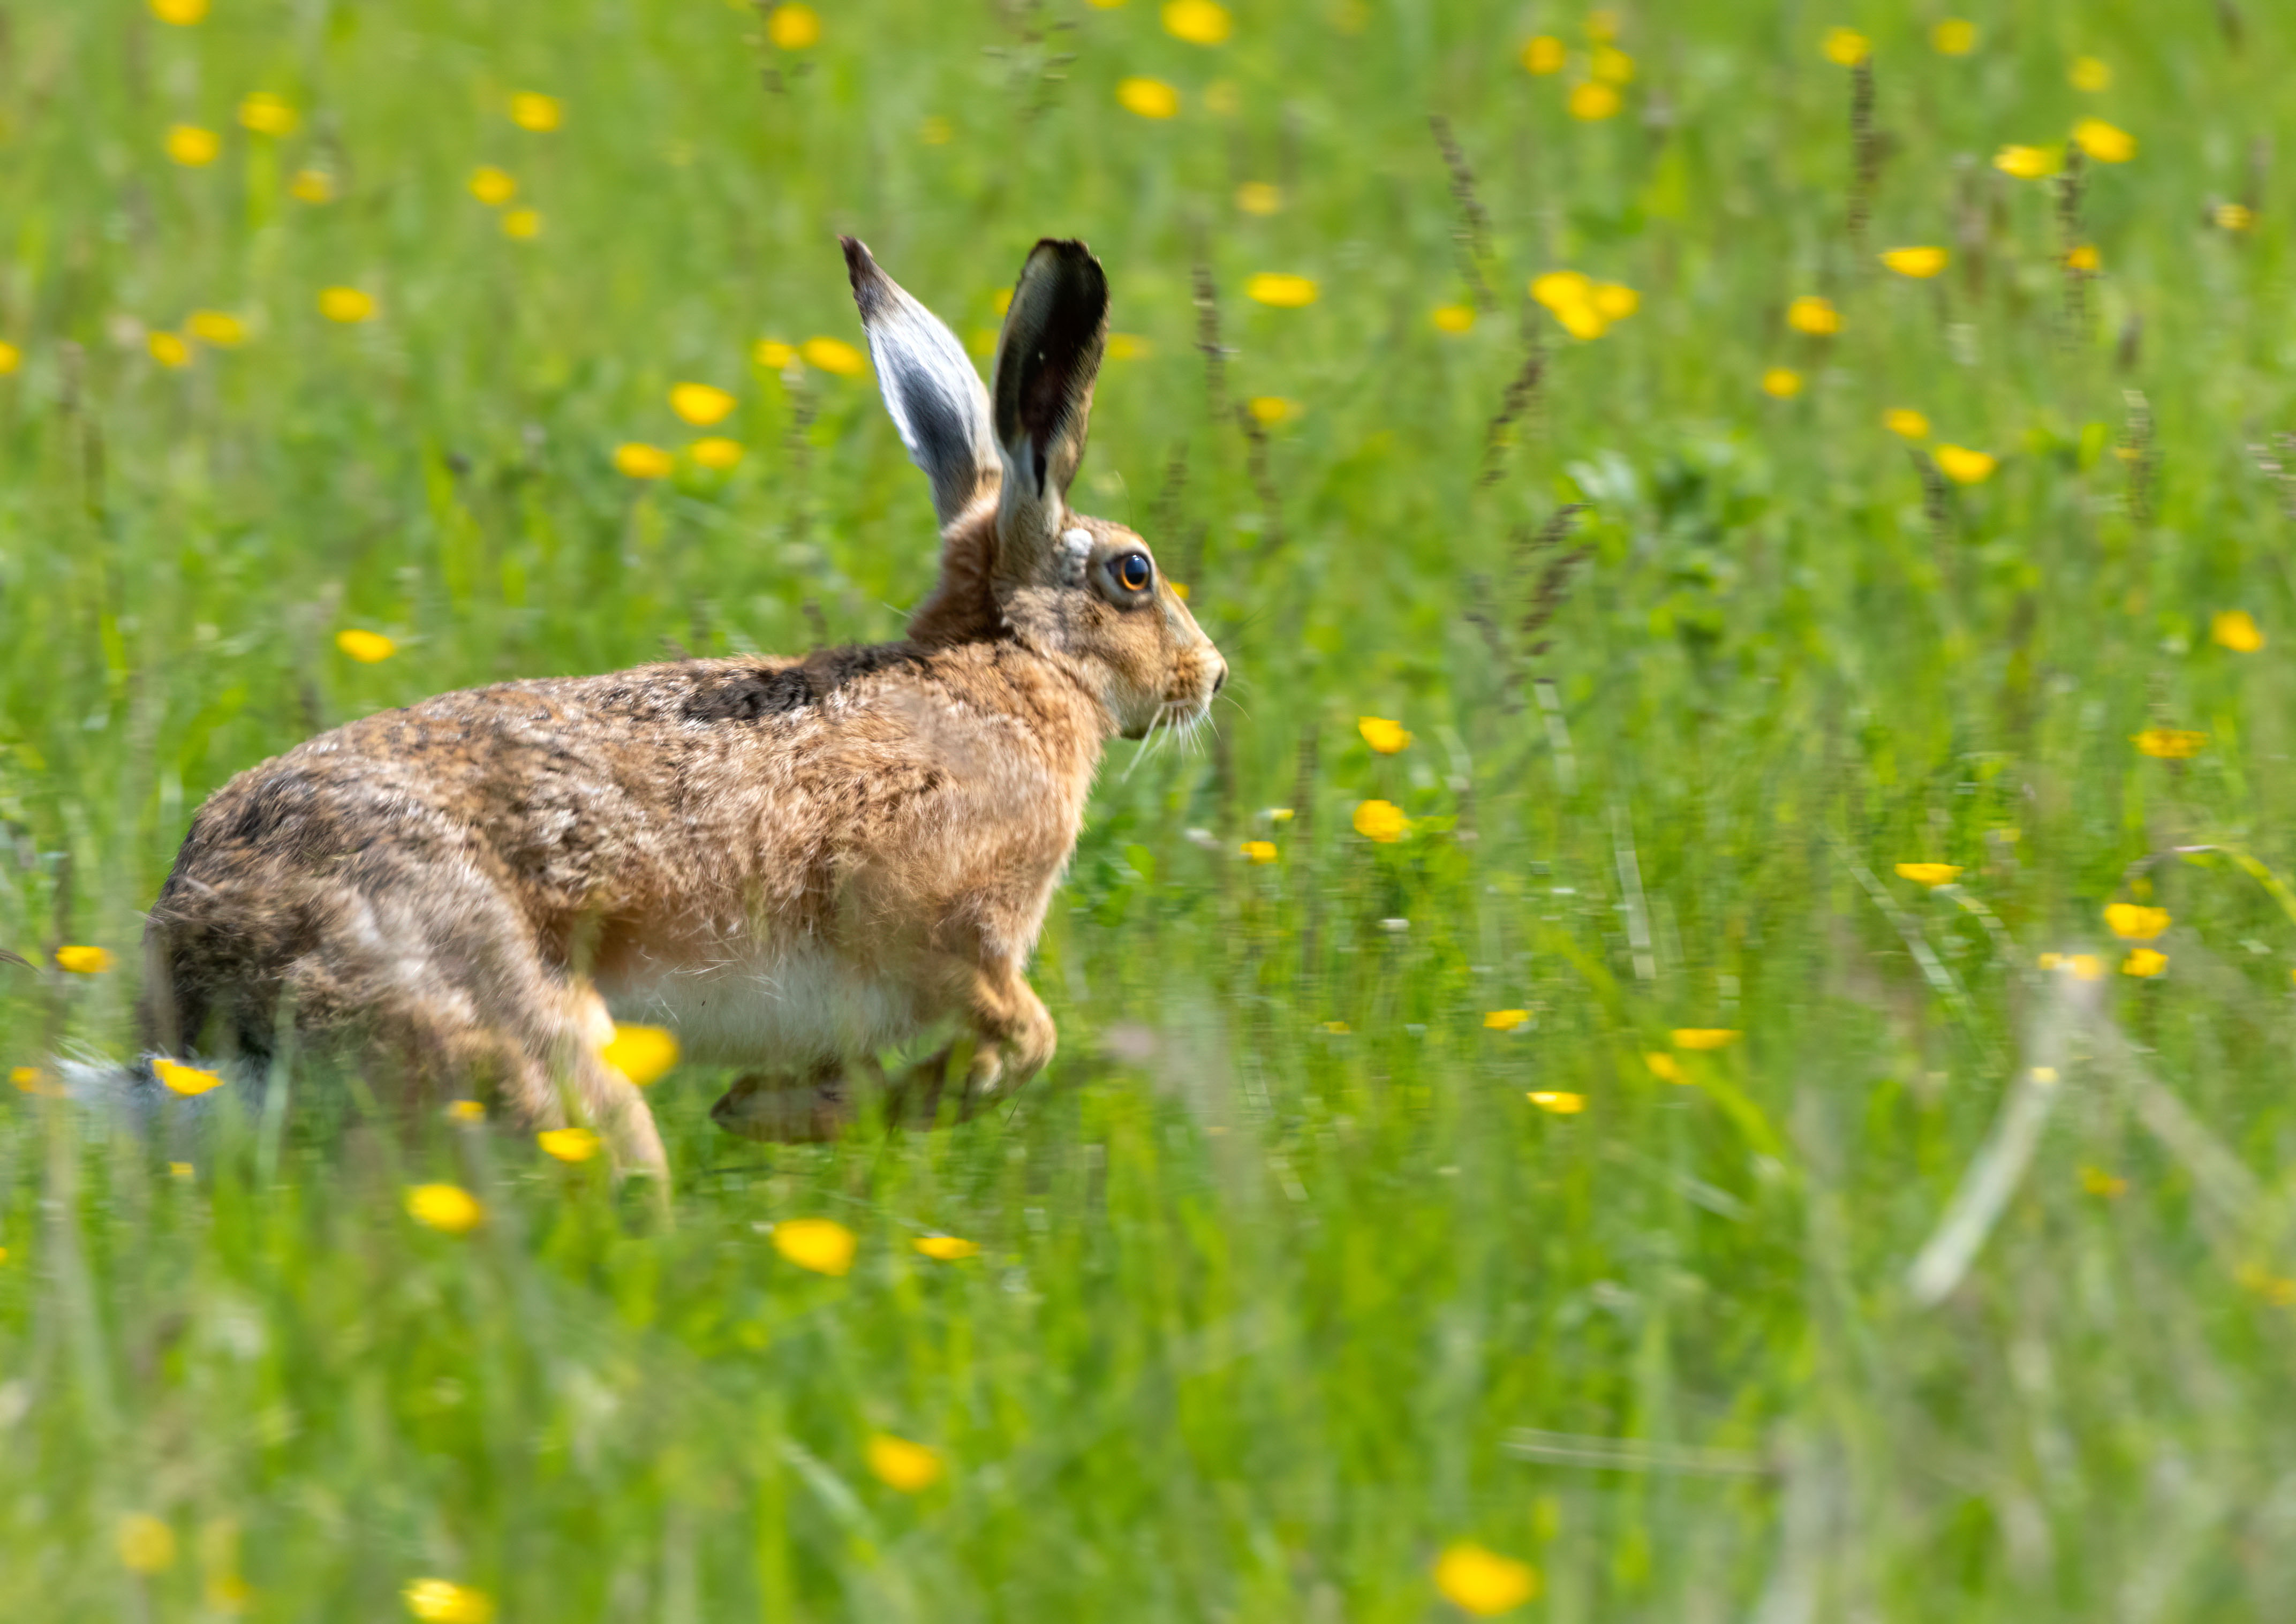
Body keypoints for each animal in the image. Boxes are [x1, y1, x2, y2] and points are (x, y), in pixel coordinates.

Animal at [136, 236, 1228, 1176]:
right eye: (1134, 572)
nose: (1210, 674)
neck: (1010, 664)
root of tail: (211, 948)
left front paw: (778, 1106)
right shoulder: (936, 924)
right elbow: (1024, 1037)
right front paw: (843, 1107)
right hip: (532, 1042)